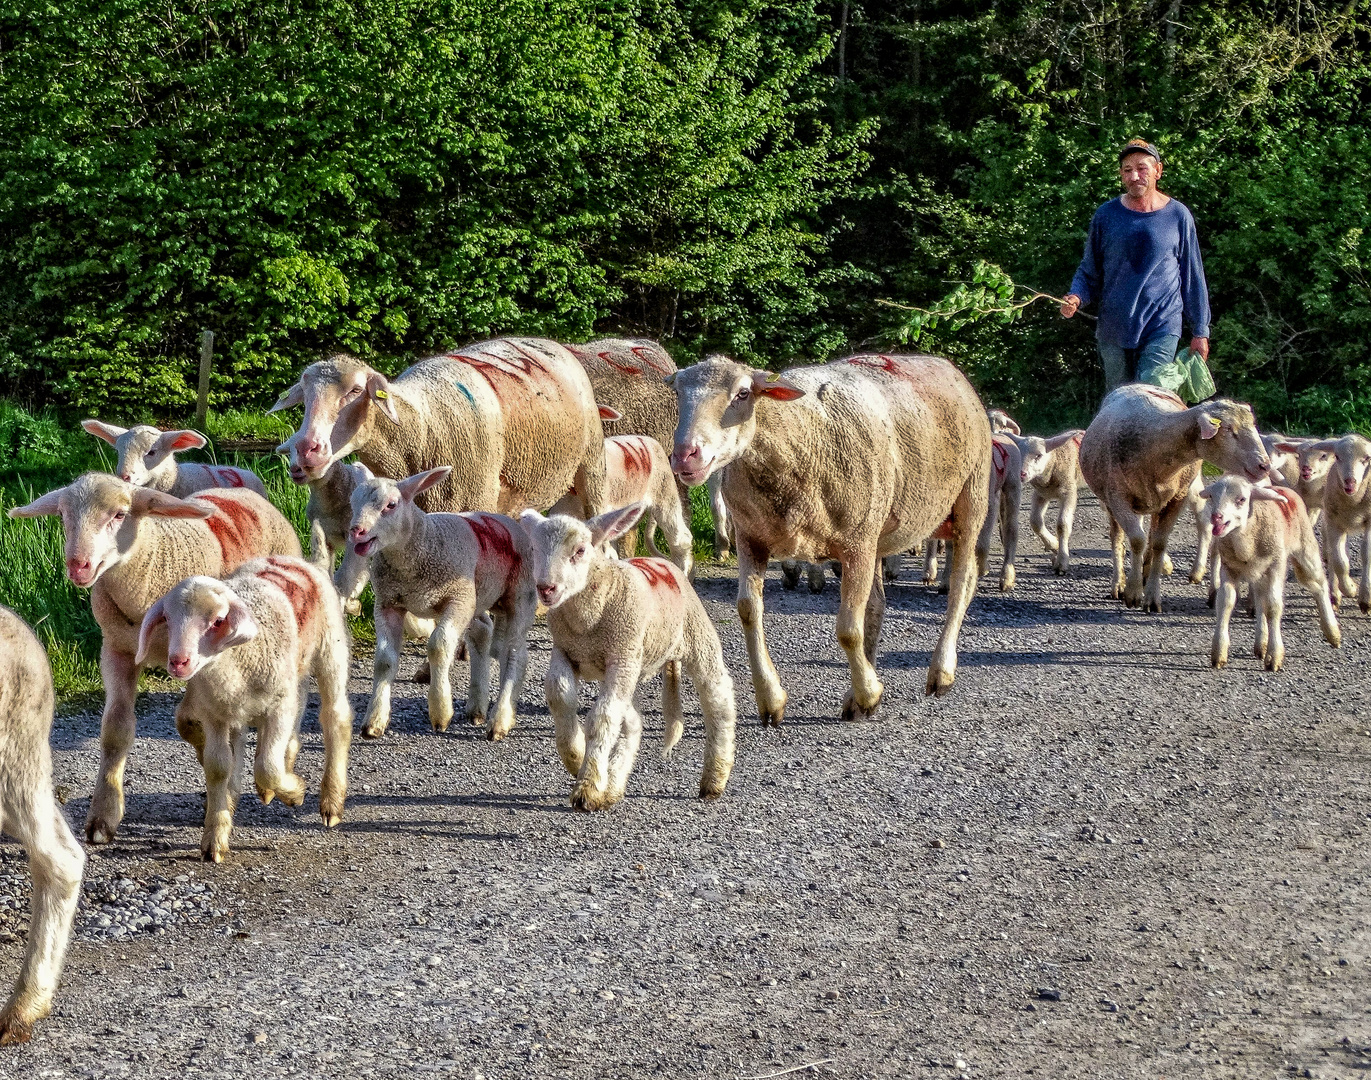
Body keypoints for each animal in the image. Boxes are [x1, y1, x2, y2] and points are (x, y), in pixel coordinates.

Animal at [135, 556, 350, 860]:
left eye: (218, 621)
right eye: (168, 619)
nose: (178, 662)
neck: (231, 664)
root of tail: (291, 560)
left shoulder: (277, 707)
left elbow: (267, 767)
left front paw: (294, 792)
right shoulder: (214, 714)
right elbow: (217, 766)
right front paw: (215, 836)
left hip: (330, 650)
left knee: (335, 717)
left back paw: (330, 801)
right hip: (283, 681)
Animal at [270, 341, 603, 518]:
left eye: (355, 391)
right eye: (304, 395)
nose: (306, 449)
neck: (420, 427)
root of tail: (555, 344)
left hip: (592, 466)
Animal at [520, 507, 740, 811]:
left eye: (580, 550)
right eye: (534, 549)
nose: (546, 588)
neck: (587, 624)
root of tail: (662, 561)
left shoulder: (622, 657)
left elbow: (602, 718)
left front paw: (587, 787)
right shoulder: (565, 650)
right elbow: (559, 696)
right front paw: (575, 756)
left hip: (695, 636)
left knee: (718, 697)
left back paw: (715, 778)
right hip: (631, 665)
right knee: (633, 722)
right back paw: (613, 786)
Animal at [671, 349, 987, 718]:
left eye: (743, 393)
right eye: (677, 392)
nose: (685, 455)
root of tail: (947, 367)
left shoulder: (856, 543)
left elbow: (848, 630)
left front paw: (869, 693)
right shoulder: (751, 538)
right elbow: (748, 610)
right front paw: (771, 699)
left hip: (971, 497)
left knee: (962, 585)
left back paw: (941, 672)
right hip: (878, 529)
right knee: (876, 605)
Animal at [1080, 386, 1272, 608]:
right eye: (1228, 429)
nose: (1264, 466)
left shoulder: (1177, 499)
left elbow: (1160, 543)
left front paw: (1152, 596)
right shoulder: (1117, 498)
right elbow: (1136, 540)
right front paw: (1133, 592)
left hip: (1182, 490)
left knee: (1186, 523)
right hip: (1116, 500)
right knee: (1118, 536)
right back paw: (1119, 583)